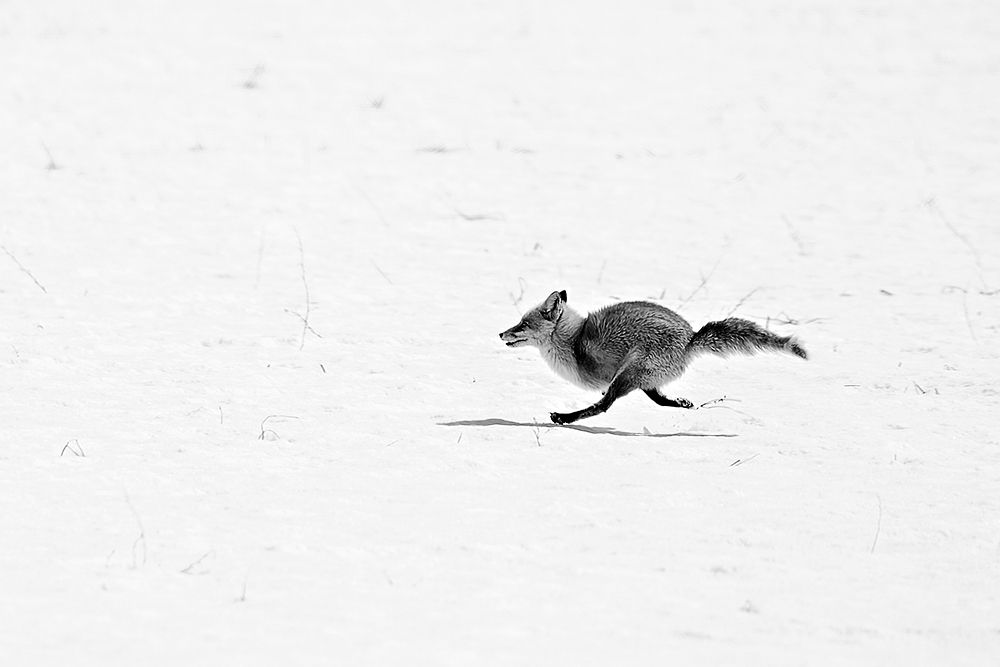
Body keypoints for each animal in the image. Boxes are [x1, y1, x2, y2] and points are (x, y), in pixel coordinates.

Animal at [499, 290, 807, 424]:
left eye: (522, 325)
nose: (501, 334)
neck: (574, 344)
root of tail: (691, 338)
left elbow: (602, 403)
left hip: (629, 372)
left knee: (603, 406)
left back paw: (565, 417)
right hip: (641, 377)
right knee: (659, 400)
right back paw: (684, 404)